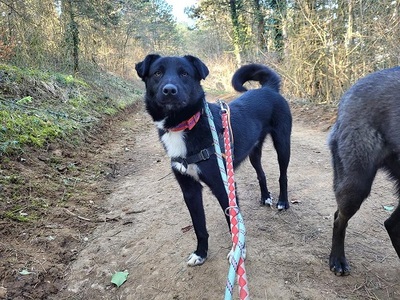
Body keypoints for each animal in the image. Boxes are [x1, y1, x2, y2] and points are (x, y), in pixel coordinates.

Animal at [134, 55, 290, 266]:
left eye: (185, 73)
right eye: (157, 73)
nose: (169, 90)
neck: (185, 125)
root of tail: (269, 89)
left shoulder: (223, 186)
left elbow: (233, 223)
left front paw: (238, 252)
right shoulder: (190, 190)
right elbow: (199, 226)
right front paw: (201, 253)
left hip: (283, 144)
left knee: (283, 175)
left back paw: (283, 201)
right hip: (253, 152)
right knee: (261, 173)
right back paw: (265, 196)